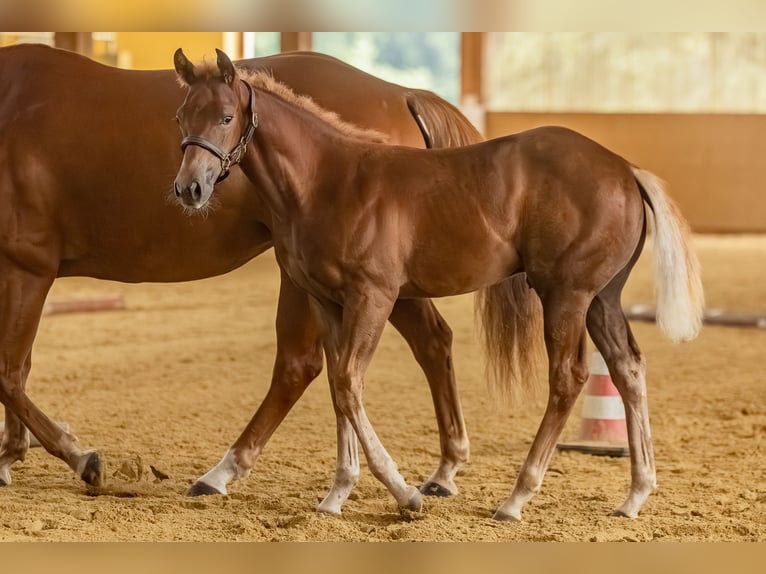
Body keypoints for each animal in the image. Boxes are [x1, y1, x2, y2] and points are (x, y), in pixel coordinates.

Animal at [0, 44, 482, 497]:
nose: (189, 187)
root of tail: (400, 94)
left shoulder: (27, 267)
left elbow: (9, 372)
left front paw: (75, 456)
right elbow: (20, 367)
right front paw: (11, 452)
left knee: (297, 367)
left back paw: (223, 471)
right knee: (432, 342)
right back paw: (444, 469)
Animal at [172, 48, 704, 520]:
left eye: (225, 117)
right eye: (181, 117)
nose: (189, 189)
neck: (328, 182)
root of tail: (625, 169)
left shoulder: (374, 296)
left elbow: (348, 383)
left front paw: (404, 493)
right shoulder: (327, 302)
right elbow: (338, 389)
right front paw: (337, 494)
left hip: (566, 296)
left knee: (568, 378)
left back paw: (515, 499)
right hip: (601, 298)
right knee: (627, 368)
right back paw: (634, 496)